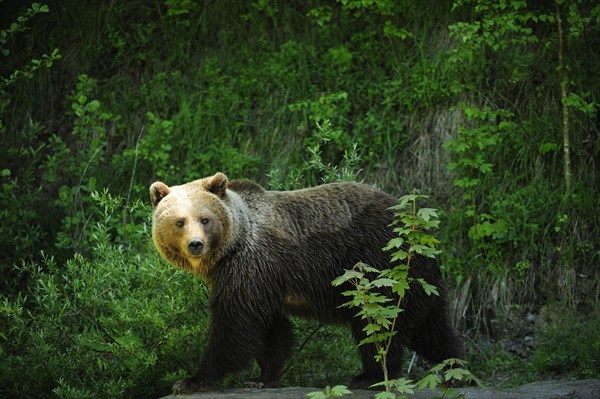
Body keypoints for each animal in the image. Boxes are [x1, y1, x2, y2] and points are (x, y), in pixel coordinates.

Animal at [149, 172, 464, 394]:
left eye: (205, 219)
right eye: (179, 221)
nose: (196, 244)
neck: (229, 250)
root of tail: (418, 229)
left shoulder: (249, 267)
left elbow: (235, 326)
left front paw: (191, 380)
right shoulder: (264, 282)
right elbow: (272, 331)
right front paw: (262, 377)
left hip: (380, 266)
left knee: (377, 324)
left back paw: (367, 376)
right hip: (418, 281)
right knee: (431, 329)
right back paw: (455, 368)